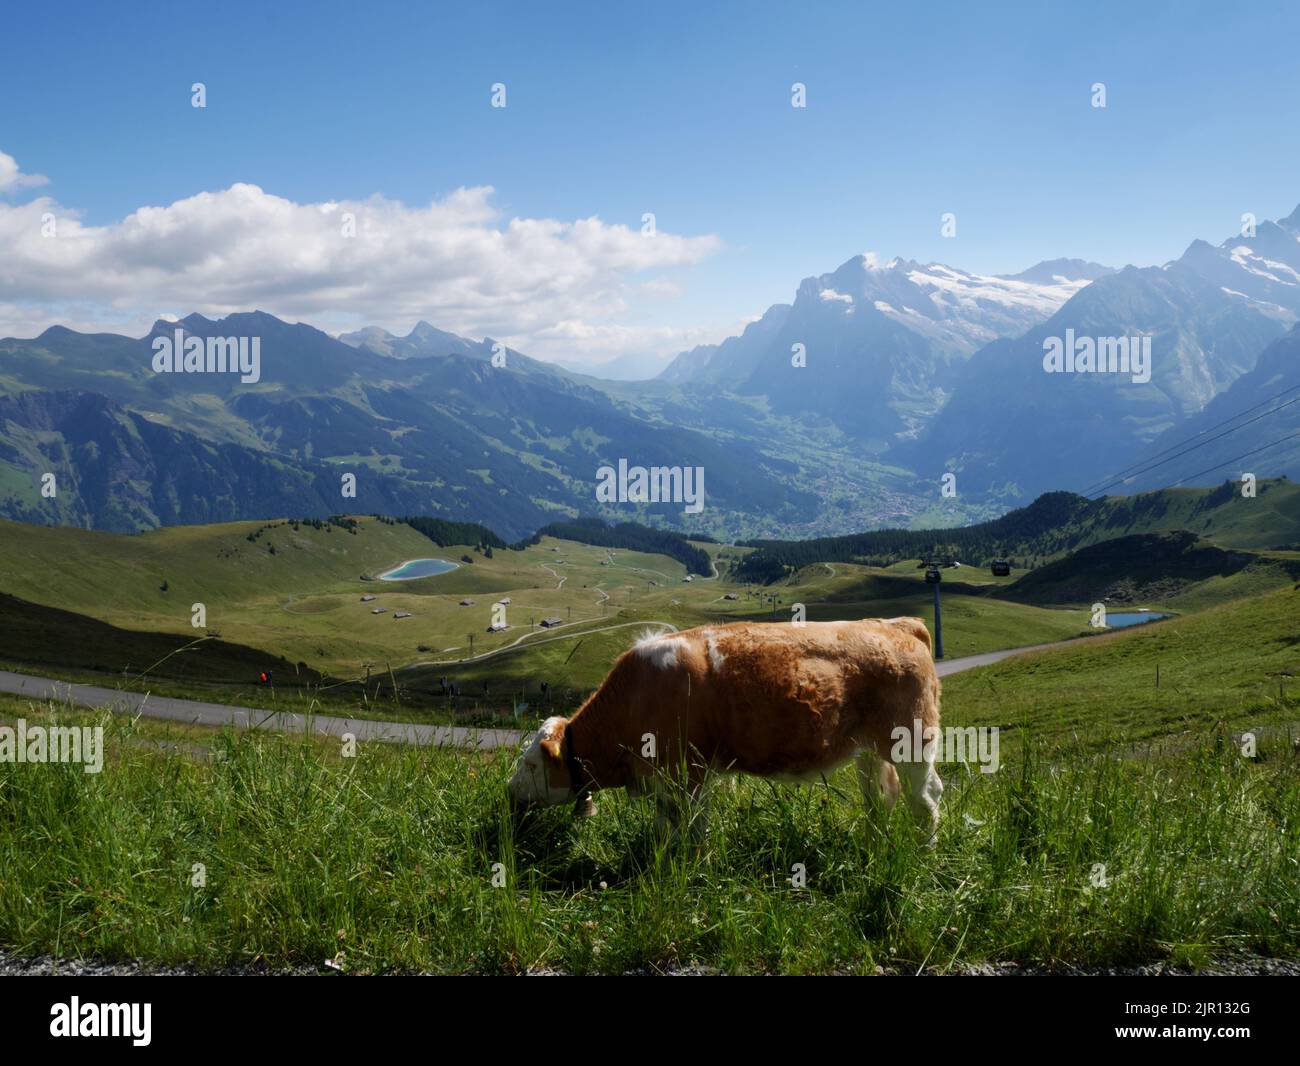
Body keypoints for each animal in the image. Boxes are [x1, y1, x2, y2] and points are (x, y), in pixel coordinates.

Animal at [506, 616, 946, 842]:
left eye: (530, 764)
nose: (509, 792)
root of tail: (898, 623)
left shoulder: (690, 772)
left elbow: (694, 827)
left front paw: (690, 867)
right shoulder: (664, 780)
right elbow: (666, 825)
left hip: (910, 742)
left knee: (925, 799)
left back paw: (921, 851)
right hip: (869, 749)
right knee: (882, 796)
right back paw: (874, 844)